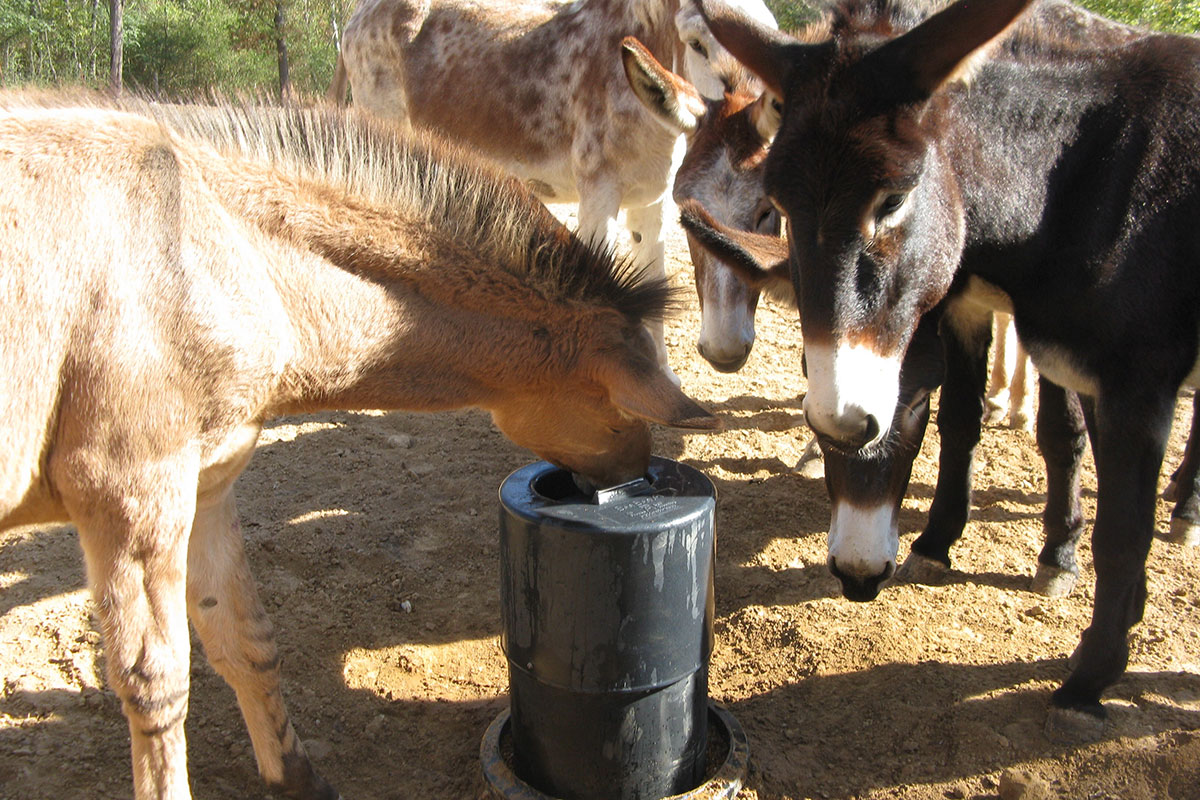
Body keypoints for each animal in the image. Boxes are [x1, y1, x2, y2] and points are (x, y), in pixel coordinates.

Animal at [0, 95, 719, 800]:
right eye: (619, 408)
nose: (635, 473)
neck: (219, 249)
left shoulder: (207, 486)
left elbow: (244, 640)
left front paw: (296, 777)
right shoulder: (132, 496)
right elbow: (157, 686)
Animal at [327, 0, 777, 377]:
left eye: (768, 33)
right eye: (697, 43)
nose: (755, 112)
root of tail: (360, 13)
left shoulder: (651, 201)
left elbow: (655, 283)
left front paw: (663, 379)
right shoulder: (598, 196)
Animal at [698, 0, 1200, 737]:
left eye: (892, 201)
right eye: (781, 208)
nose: (857, 577)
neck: (1080, 179)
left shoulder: (1135, 384)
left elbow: (1120, 526)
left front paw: (1091, 672)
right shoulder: (994, 321)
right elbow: (967, 423)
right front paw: (942, 543)